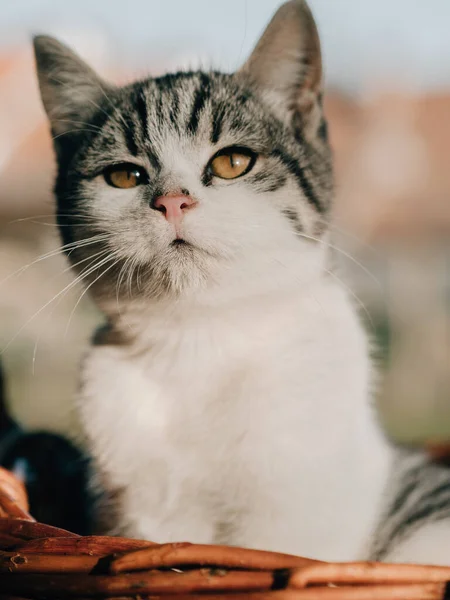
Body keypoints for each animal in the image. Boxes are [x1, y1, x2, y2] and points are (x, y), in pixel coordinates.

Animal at [33, 0, 450, 564]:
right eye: (124, 176)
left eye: (232, 162)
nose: (172, 200)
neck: (201, 341)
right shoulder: (139, 511)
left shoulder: (294, 518)